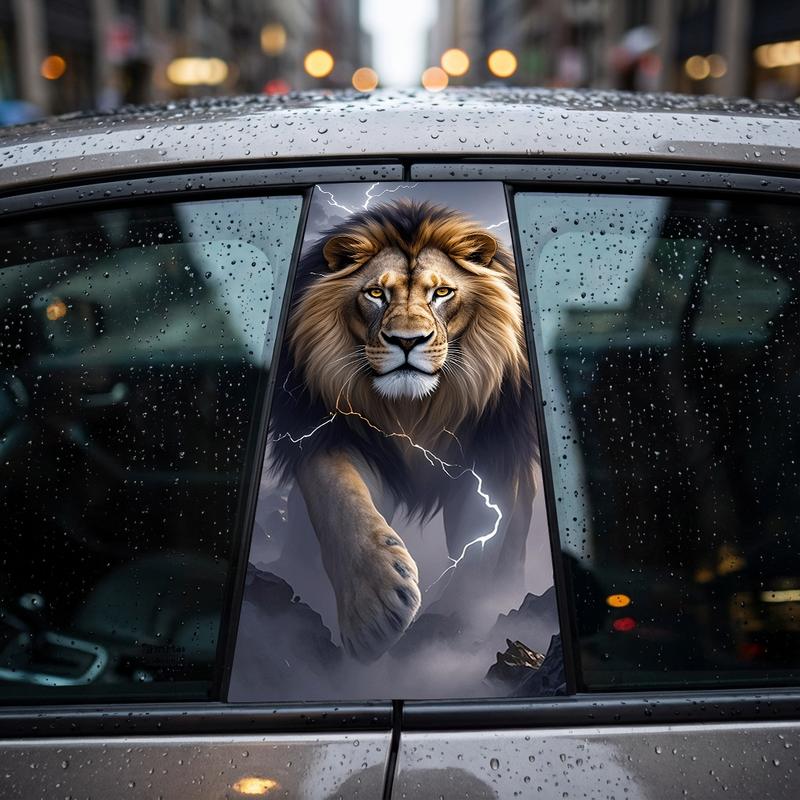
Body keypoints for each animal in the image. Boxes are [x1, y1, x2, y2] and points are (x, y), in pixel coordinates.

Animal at [270, 199, 539, 662]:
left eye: (442, 292)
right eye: (376, 293)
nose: (408, 340)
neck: (414, 411)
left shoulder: (491, 456)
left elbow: (480, 542)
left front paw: (451, 627)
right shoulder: (332, 435)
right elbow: (340, 497)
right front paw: (374, 608)